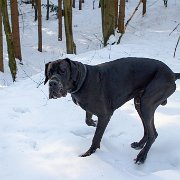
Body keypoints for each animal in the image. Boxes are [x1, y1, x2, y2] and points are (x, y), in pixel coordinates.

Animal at [44, 57, 180, 164]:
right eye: (49, 73)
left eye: (63, 71)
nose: (52, 83)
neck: (83, 81)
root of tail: (172, 74)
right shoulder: (90, 108)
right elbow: (87, 119)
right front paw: (93, 123)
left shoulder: (105, 114)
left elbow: (96, 137)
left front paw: (89, 154)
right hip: (139, 103)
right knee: (148, 129)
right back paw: (139, 144)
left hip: (147, 103)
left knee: (153, 134)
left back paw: (142, 156)